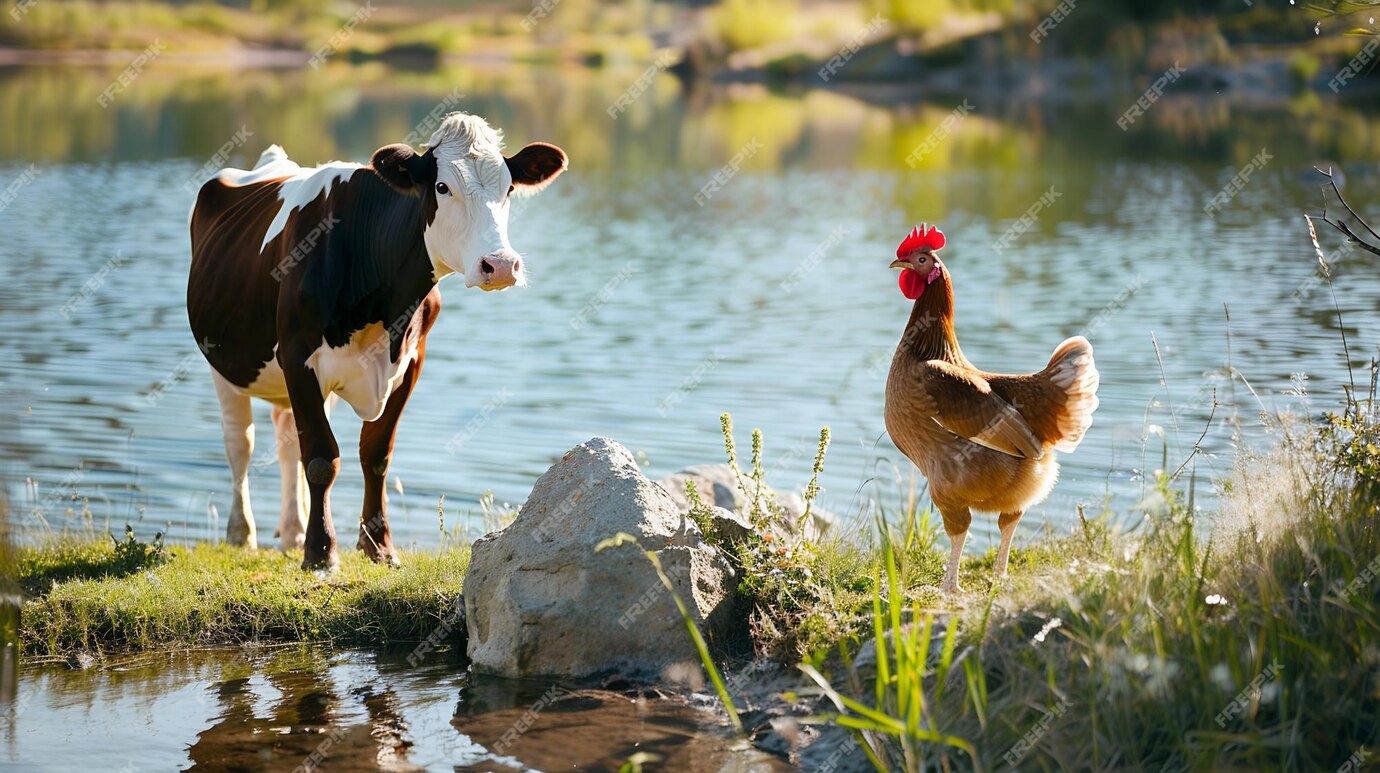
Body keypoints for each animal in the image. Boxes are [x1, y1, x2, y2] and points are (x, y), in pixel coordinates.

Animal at [187, 112, 567, 570]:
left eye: (508, 188)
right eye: (442, 187)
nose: (501, 264)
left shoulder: (410, 361)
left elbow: (376, 454)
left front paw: (378, 546)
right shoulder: (298, 357)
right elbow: (322, 457)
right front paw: (321, 554)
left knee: (286, 438)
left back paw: (292, 531)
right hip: (223, 362)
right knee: (240, 442)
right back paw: (242, 533)